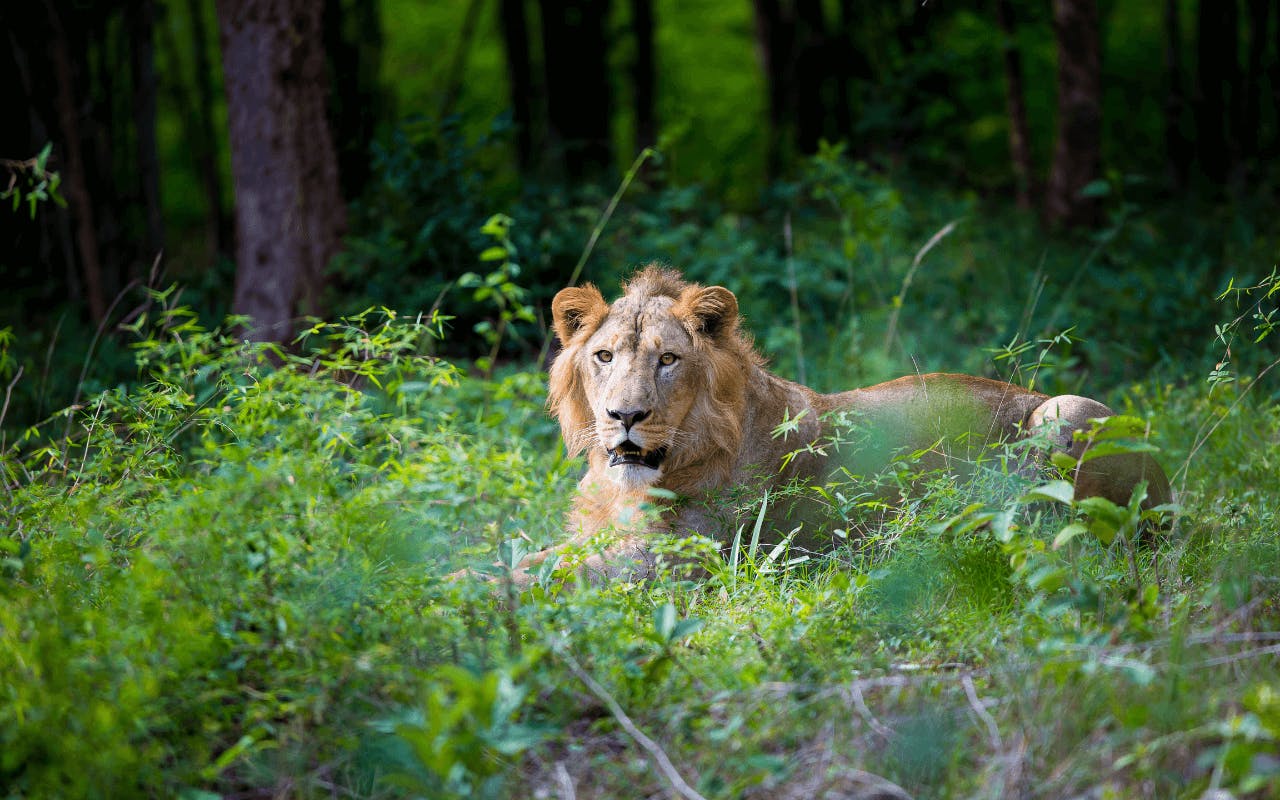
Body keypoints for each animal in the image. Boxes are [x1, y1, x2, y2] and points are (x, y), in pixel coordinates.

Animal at [486, 266, 1171, 586]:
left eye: (668, 360)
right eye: (604, 357)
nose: (624, 417)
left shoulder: (681, 561)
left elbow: (552, 574)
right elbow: (532, 559)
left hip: (1067, 411)